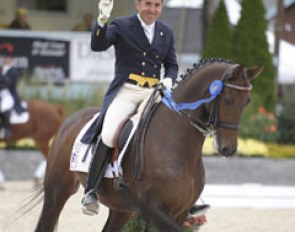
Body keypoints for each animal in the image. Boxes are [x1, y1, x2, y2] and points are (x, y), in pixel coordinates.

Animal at [34, 57, 264, 230]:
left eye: (248, 102)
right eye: (227, 100)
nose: (228, 148)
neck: (177, 143)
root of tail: (70, 119)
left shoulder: (180, 212)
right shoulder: (154, 210)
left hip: (121, 209)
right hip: (57, 190)